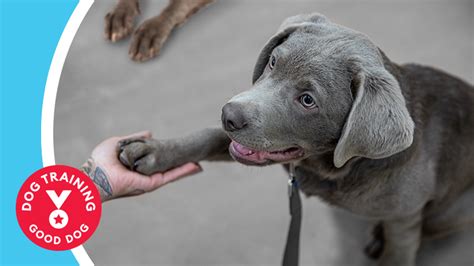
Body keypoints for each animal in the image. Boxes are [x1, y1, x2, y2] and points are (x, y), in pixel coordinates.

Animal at [117, 13, 474, 264]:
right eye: (274, 61)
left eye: (307, 100)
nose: (228, 115)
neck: (330, 168)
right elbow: (206, 136)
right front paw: (151, 152)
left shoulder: (404, 220)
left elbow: (399, 250)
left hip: (451, 211)